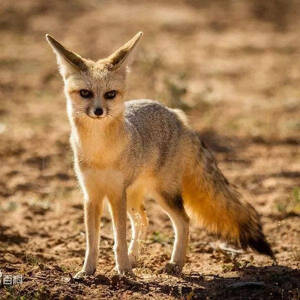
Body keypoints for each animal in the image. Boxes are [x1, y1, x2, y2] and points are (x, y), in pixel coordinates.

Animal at [45, 31, 274, 278]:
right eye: (85, 93)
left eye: (110, 94)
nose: (98, 111)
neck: (100, 152)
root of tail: (176, 114)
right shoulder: (91, 195)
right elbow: (92, 241)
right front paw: (88, 271)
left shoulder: (115, 193)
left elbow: (119, 239)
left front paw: (124, 271)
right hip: (134, 196)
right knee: (143, 221)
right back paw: (136, 258)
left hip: (162, 193)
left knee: (183, 221)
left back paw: (175, 263)